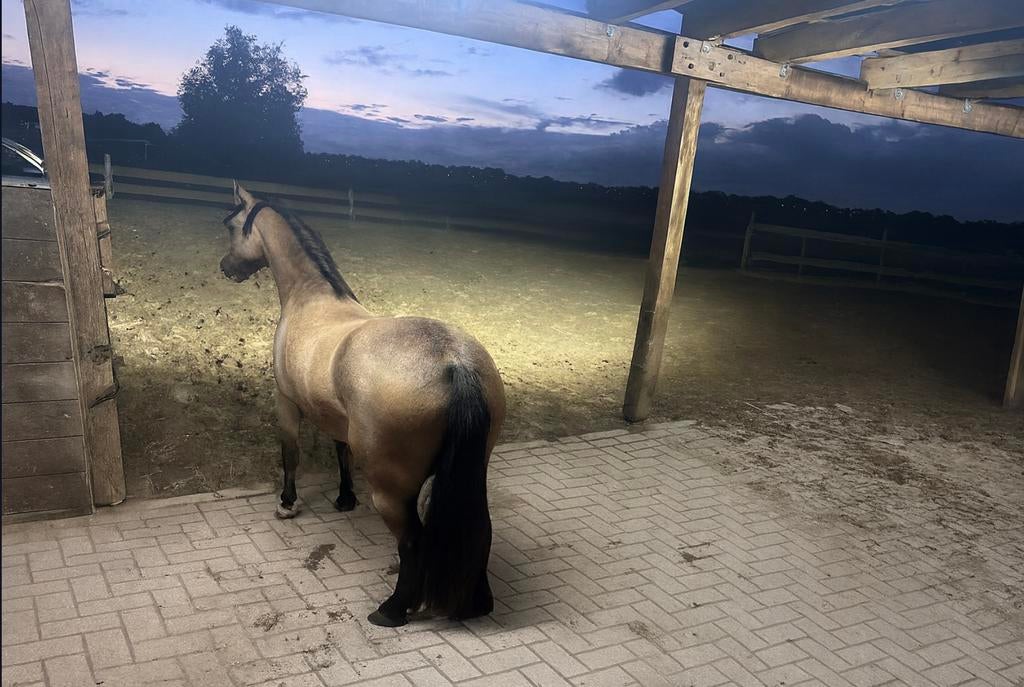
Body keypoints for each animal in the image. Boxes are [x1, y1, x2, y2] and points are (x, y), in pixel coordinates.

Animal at [218, 182, 506, 627]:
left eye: (232, 226)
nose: (226, 268)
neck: (312, 299)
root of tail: (453, 362)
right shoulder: (335, 416)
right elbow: (341, 451)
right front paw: (344, 498)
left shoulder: (286, 402)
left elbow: (290, 454)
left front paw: (287, 504)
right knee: (477, 528)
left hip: (390, 491)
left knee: (412, 543)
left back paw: (392, 610)